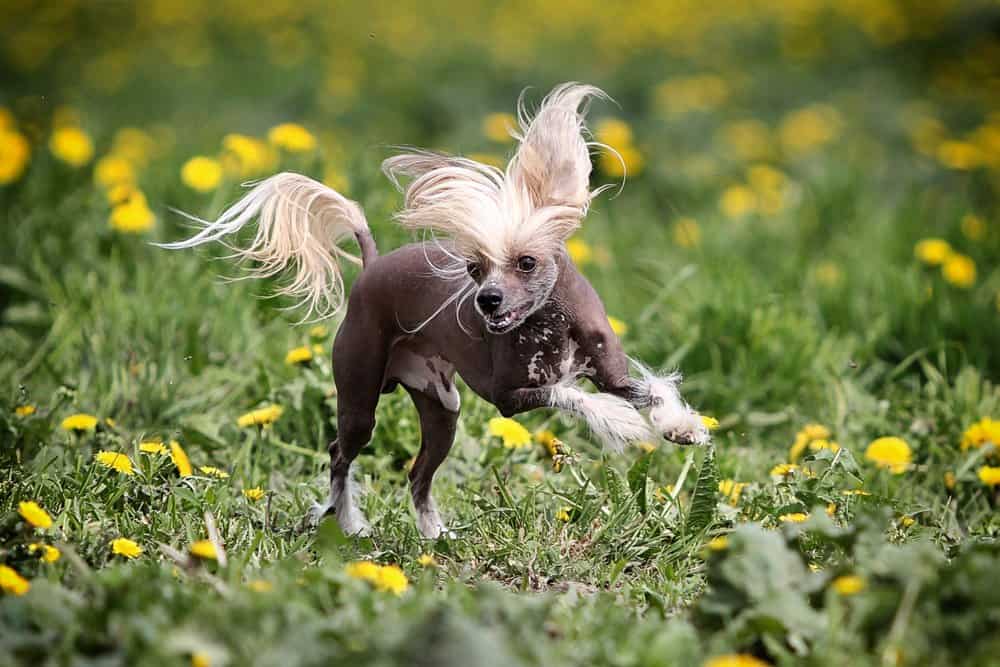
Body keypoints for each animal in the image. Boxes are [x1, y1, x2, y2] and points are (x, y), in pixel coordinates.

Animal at [160, 82, 708, 536]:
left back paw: (433, 536)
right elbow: (571, 394)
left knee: (417, 473)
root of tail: (371, 268)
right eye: (474, 266)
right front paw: (619, 422)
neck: (549, 324)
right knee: (341, 454)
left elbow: (648, 390)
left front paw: (680, 426)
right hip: (360, 398)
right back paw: (349, 522)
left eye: (526, 262)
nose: (487, 300)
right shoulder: (508, 396)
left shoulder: (610, 374)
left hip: (443, 409)